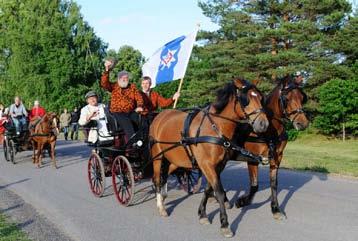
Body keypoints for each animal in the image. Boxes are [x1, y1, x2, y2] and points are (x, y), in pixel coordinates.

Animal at [148, 78, 268, 237]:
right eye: (245, 100)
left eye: (260, 98)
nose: (263, 124)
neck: (215, 127)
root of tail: (160, 116)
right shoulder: (206, 164)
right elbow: (218, 190)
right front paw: (224, 224)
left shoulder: (219, 165)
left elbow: (209, 189)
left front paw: (202, 214)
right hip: (158, 156)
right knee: (157, 178)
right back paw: (161, 206)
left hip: (176, 159)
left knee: (165, 175)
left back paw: (163, 195)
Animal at [234, 76, 310, 219]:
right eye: (287, 98)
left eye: (302, 97)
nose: (303, 123)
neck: (269, 130)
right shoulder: (252, 157)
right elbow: (254, 185)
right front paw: (242, 201)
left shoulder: (277, 156)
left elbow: (274, 183)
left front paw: (275, 209)